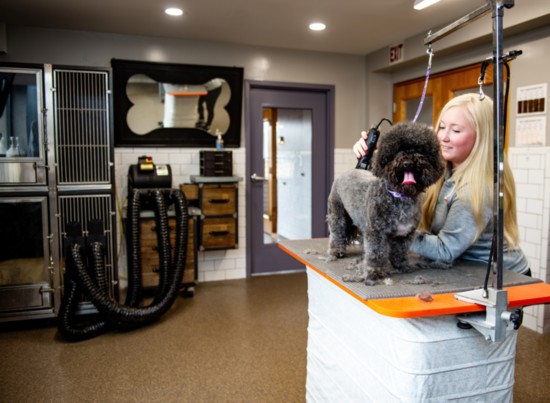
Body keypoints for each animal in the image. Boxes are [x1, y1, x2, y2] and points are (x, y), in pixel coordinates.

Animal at [328, 121, 448, 286]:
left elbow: (400, 251)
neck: (400, 197)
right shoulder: (376, 233)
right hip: (338, 213)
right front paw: (374, 273)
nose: (407, 162)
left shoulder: (405, 234)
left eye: (419, 150)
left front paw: (401, 266)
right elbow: (376, 253)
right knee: (337, 232)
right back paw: (336, 251)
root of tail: (353, 170)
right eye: (395, 152)